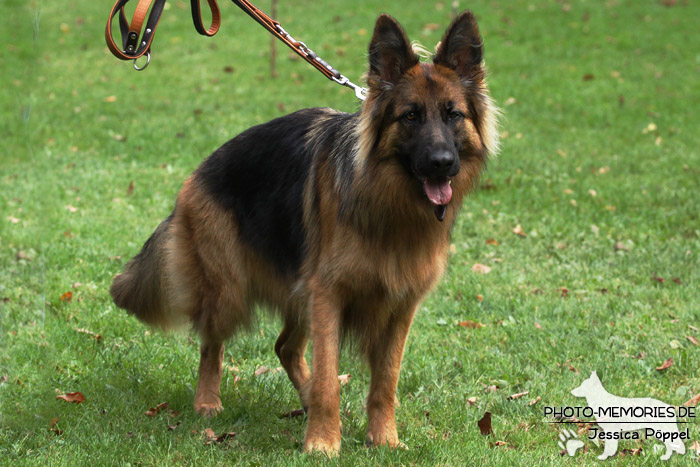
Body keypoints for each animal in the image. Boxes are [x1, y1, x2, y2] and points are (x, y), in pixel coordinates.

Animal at [110, 11, 498, 456]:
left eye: (453, 115)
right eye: (411, 116)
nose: (442, 163)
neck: (387, 208)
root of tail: (197, 173)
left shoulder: (400, 306)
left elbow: (386, 381)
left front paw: (383, 439)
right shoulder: (328, 295)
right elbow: (329, 377)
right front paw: (323, 442)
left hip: (297, 293)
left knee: (283, 347)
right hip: (230, 290)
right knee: (211, 341)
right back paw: (208, 400)